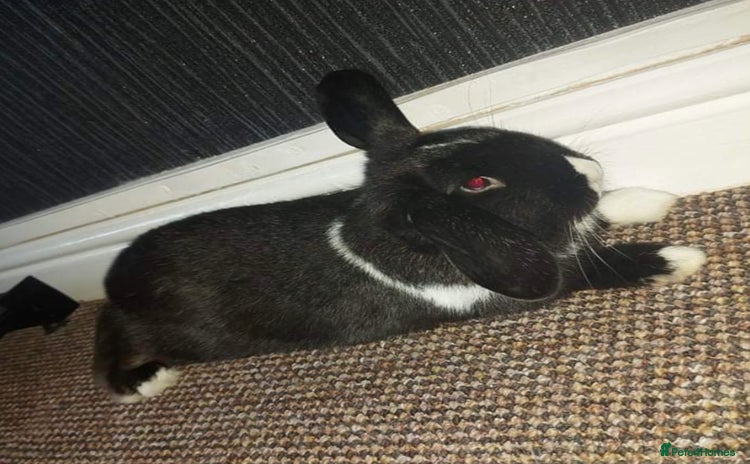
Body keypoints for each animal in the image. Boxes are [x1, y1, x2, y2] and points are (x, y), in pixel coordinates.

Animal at [94, 69, 706, 403]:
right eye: (478, 183)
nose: (591, 173)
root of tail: (113, 293)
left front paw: (648, 199)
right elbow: (586, 268)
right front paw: (678, 256)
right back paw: (147, 380)